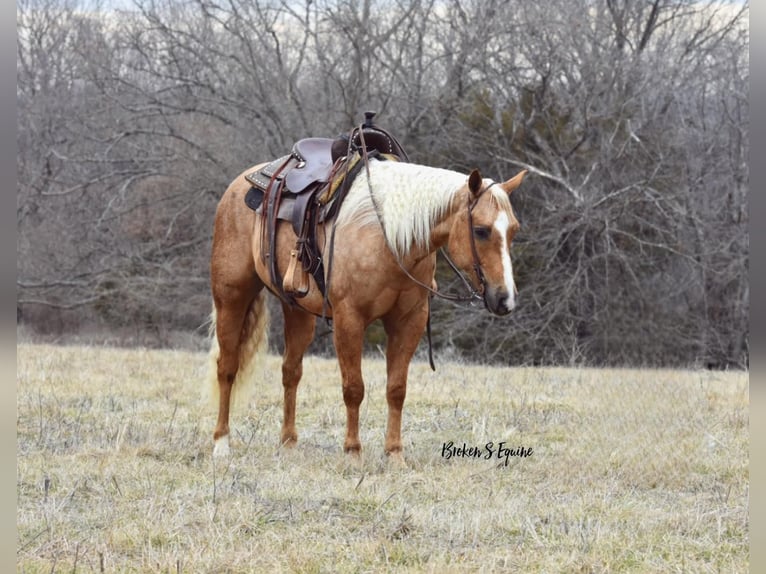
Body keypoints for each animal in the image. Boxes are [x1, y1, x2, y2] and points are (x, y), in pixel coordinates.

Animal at [207, 154, 524, 468]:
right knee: (227, 368)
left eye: (513, 230)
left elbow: (396, 389)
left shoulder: (409, 320)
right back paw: (221, 443)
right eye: (480, 230)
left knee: (290, 372)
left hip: (298, 311)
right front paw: (353, 452)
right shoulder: (349, 319)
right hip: (231, 298)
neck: (388, 238)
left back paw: (288, 443)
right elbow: (354, 388)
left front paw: (394, 453)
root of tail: (241, 183)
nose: (505, 299)